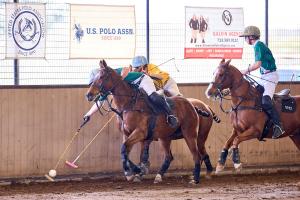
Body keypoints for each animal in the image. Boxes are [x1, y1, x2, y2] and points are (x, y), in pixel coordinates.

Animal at [85, 59, 219, 184]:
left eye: (101, 77)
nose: (89, 94)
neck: (129, 104)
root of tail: (193, 105)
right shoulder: (128, 134)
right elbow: (125, 151)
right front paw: (135, 171)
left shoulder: (140, 132)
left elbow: (125, 149)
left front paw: (134, 171)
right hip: (165, 137)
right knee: (170, 156)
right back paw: (160, 176)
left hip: (191, 135)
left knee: (197, 155)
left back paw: (196, 178)